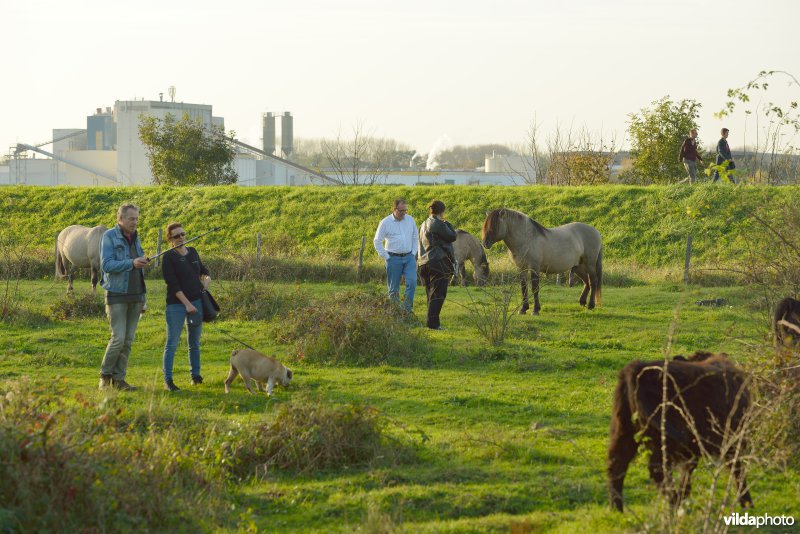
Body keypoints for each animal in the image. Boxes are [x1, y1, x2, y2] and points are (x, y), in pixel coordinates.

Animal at [608, 354, 752, 512]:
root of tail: (636, 368)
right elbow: (737, 471)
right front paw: (747, 503)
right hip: (664, 440)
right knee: (657, 469)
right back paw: (672, 500)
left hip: (623, 431)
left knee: (616, 465)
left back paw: (617, 509)